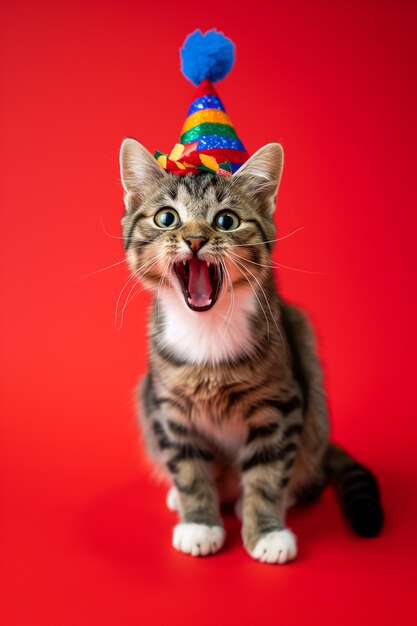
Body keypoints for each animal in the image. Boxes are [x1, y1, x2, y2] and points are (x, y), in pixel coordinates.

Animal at [118, 135, 384, 560]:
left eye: (226, 220)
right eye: (167, 218)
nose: (195, 239)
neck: (206, 330)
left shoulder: (280, 403)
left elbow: (268, 472)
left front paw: (266, 532)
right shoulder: (168, 407)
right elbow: (189, 470)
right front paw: (199, 522)